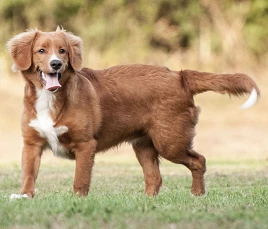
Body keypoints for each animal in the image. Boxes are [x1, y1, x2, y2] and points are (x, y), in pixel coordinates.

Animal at [7, 27, 260, 198]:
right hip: (143, 144)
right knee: (155, 177)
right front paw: (25, 197)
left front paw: (78, 201)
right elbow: (28, 175)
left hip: (169, 142)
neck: (51, 98)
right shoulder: (31, 143)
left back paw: (197, 194)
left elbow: (80, 179)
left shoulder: (85, 144)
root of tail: (179, 76)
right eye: (41, 51)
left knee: (199, 160)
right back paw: (148, 202)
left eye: (62, 51)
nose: (56, 64)